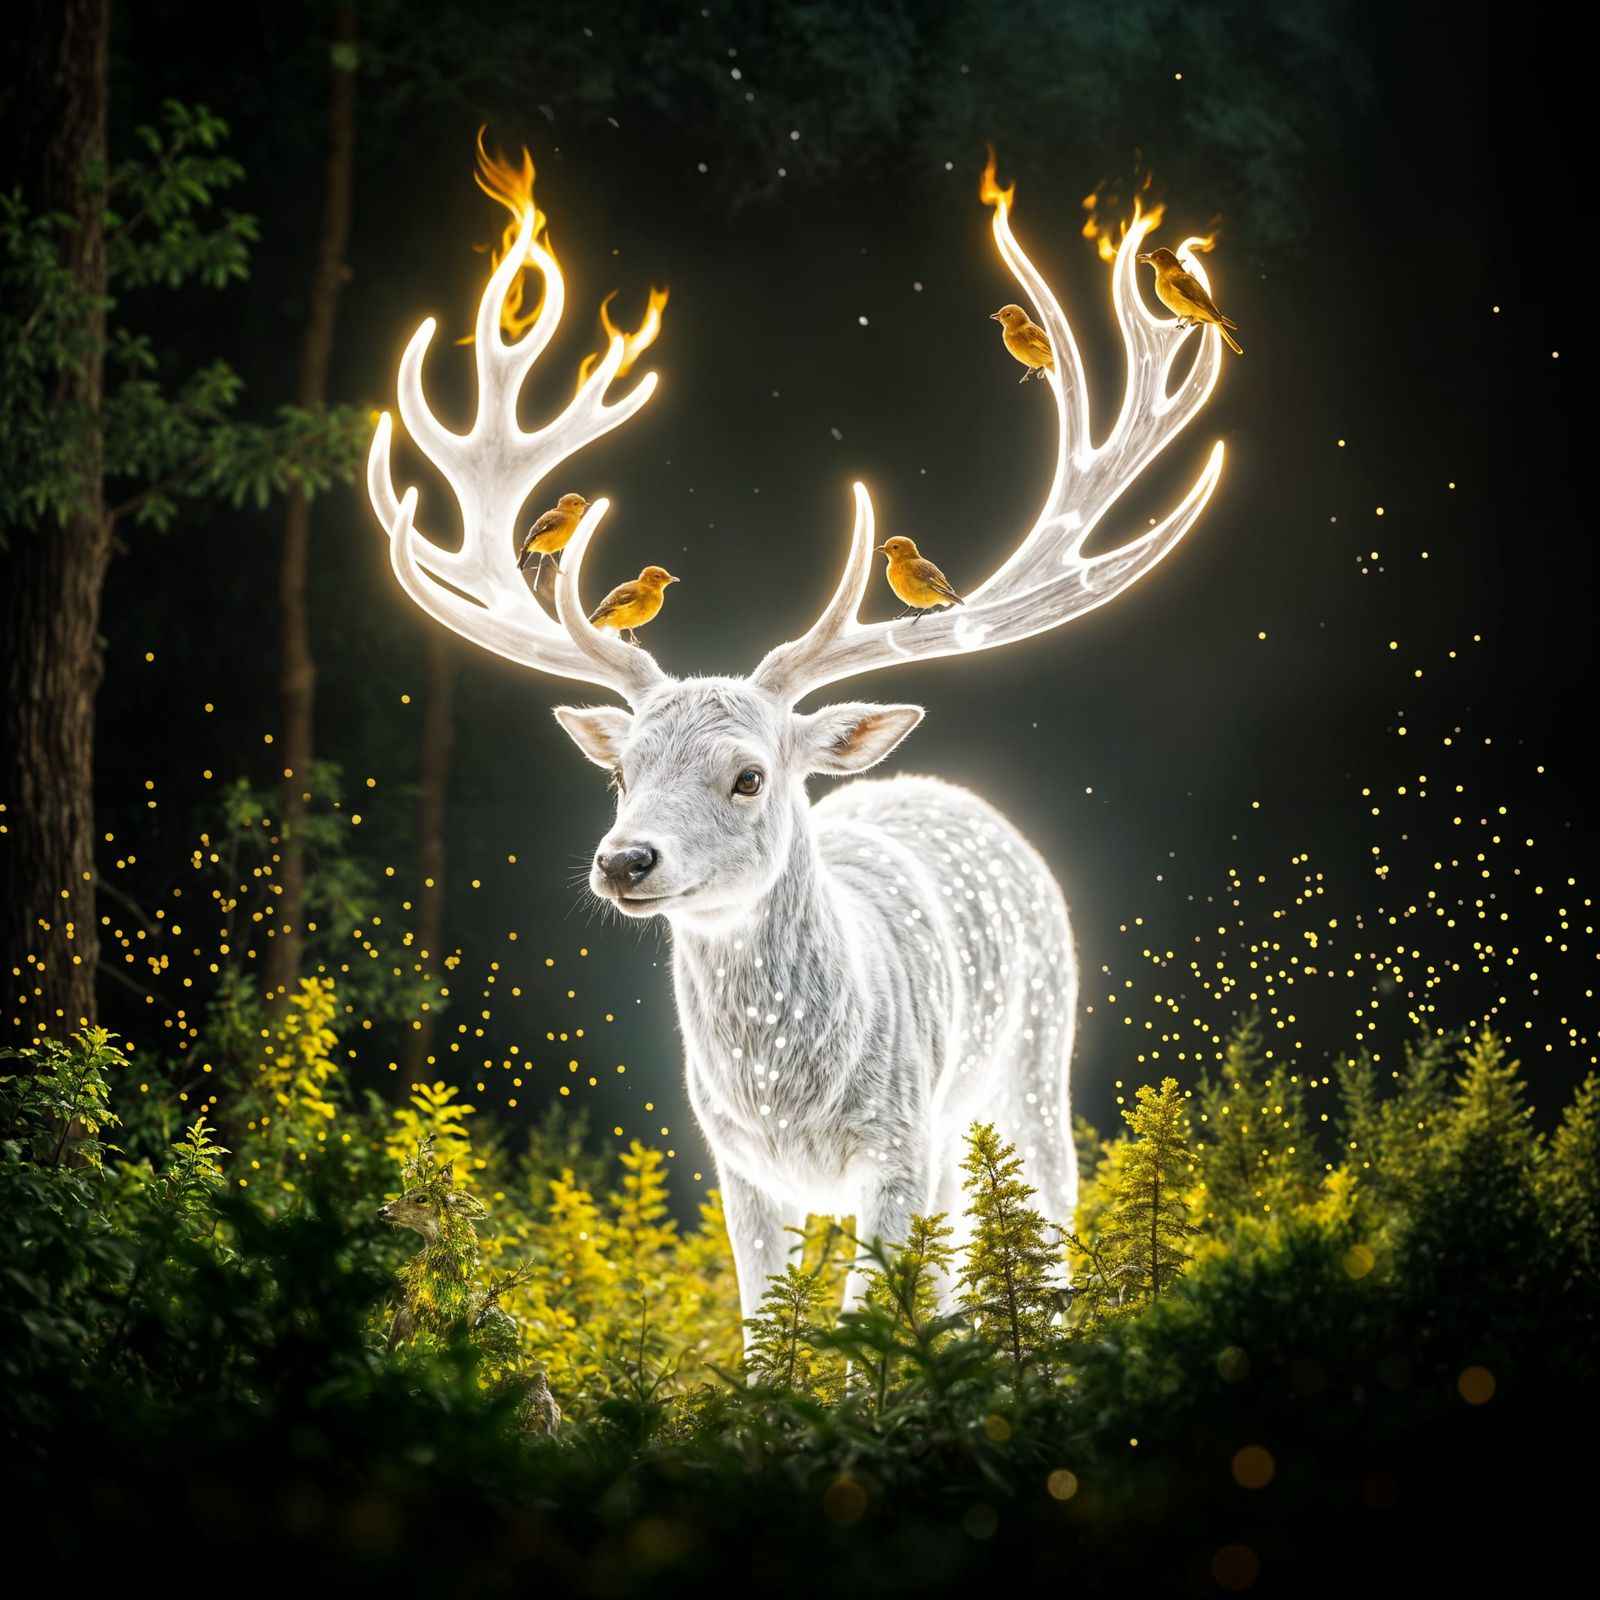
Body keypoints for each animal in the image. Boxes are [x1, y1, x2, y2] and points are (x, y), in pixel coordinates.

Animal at [365, 161, 1226, 1335]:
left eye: (749, 776)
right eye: (618, 771)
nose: (624, 860)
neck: (788, 1102)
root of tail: (951, 787)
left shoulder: (901, 1144)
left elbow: (880, 1330)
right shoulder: (733, 1163)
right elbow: (767, 1331)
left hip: (1035, 1049)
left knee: (1045, 1225)